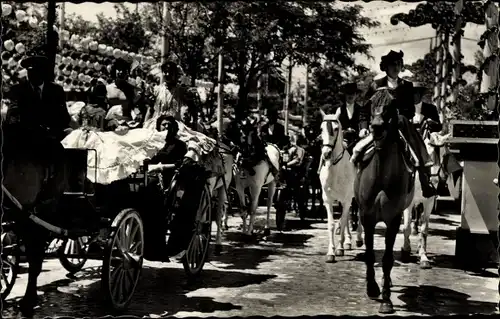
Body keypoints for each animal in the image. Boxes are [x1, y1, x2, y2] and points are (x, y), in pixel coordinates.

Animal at [320, 115, 364, 262]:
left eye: (335, 128)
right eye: (321, 128)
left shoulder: (347, 199)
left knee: (358, 213)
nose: (326, 153)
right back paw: (348, 240)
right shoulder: (328, 200)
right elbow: (332, 224)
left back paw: (358, 239)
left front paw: (339, 248)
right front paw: (331, 252)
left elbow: (344, 220)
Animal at [354, 89, 416, 316]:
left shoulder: (393, 219)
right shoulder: (367, 217)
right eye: (371, 103)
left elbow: (387, 259)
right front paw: (372, 287)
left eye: (393, 104)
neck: (381, 175)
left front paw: (386, 300)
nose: (377, 127)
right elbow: (370, 254)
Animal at [400, 129, 452, 268]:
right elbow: (406, 226)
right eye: (427, 154)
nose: (436, 181)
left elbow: (424, 229)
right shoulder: (408, 202)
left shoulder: (429, 202)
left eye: (445, 155)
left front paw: (423, 256)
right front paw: (406, 250)